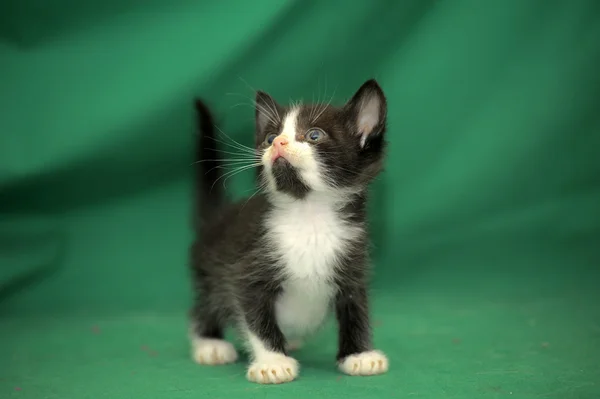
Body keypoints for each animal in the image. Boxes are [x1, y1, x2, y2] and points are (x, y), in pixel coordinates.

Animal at [191, 79, 390, 384]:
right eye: (270, 137)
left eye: (314, 135)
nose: (278, 143)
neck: (309, 215)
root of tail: (220, 217)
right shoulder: (248, 269)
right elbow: (257, 319)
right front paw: (272, 361)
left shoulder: (354, 263)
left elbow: (356, 311)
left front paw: (359, 355)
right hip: (208, 271)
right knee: (205, 303)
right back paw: (209, 342)